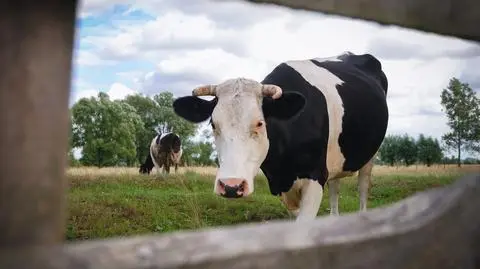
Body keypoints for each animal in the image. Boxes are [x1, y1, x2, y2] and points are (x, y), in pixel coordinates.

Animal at [172, 51, 390, 221]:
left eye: (260, 123)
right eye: (213, 124)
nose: (231, 186)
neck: (283, 169)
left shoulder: (315, 177)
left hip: (370, 156)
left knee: (363, 187)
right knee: (335, 187)